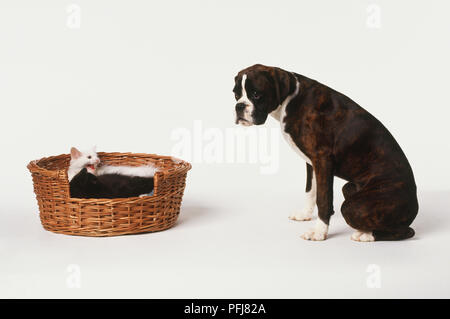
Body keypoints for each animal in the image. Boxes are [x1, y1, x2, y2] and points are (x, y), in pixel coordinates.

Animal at [232, 64, 418, 242]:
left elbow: (323, 199)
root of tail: (415, 203)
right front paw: (305, 214)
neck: (291, 99)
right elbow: (310, 190)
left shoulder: (322, 160)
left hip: (355, 207)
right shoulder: (312, 162)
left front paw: (319, 232)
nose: (239, 106)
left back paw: (366, 235)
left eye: (256, 94)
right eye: (235, 94)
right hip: (349, 188)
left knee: (407, 231)